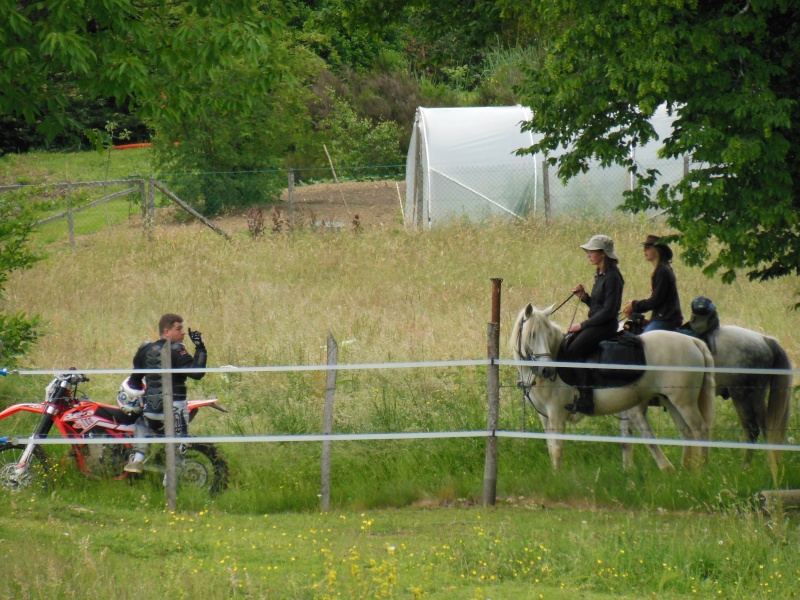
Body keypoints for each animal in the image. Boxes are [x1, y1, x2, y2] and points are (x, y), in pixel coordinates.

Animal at [516, 304, 716, 474]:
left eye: (548, 335)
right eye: (532, 335)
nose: (546, 370)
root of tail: (692, 341)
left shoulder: (556, 414)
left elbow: (557, 448)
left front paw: (558, 476)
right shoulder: (545, 416)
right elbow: (551, 446)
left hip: (684, 402)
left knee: (700, 430)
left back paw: (702, 470)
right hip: (671, 400)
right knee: (686, 432)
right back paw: (684, 471)